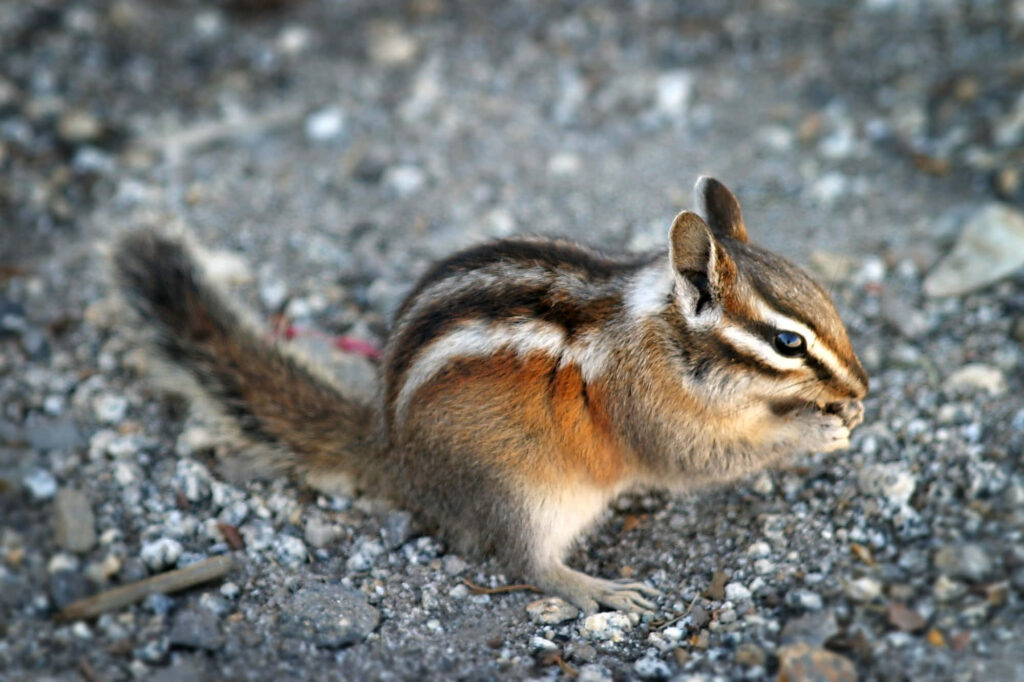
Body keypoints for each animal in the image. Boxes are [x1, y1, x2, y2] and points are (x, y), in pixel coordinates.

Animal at [113, 176, 867, 614]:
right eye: (788, 342)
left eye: (827, 301)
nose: (862, 384)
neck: (663, 334)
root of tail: (394, 455)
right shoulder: (654, 416)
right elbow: (700, 461)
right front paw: (811, 429)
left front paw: (841, 411)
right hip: (523, 492)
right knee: (526, 562)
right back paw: (597, 589)